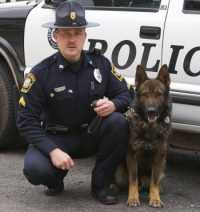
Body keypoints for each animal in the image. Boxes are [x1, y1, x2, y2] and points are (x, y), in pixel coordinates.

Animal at [116, 64, 171, 207]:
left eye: (158, 94)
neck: (149, 128)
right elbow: (133, 180)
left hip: (163, 166)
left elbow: (154, 181)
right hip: (119, 172)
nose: (151, 110)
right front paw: (133, 198)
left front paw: (155, 198)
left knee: (151, 182)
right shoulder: (131, 156)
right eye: (145, 94)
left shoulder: (158, 157)